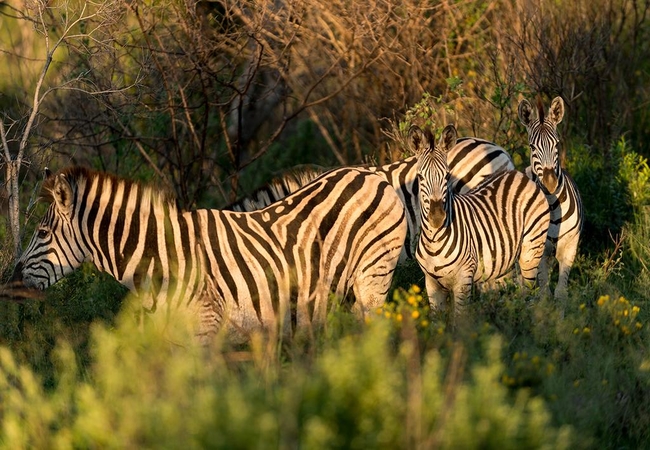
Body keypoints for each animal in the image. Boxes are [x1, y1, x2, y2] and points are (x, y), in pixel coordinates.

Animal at [11, 165, 404, 342]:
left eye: (42, 234)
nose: (12, 279)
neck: (160, 257)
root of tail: (369, 173)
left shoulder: (206, 326)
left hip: (374, 279)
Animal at [408, 124, 548, 316]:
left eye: (447, 176)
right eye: (420, 177)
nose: (437, 217)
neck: (434, 240)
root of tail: (517, 174)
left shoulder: (463, 279)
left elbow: (460, 320)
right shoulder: (431, 284)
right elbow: (437, 321)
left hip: (531, 249)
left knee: (530, 293)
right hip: (503, 260)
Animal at [516, 96, 584, 300]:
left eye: (557, 144)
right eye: (532, 147)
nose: (550, 183)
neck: (554, 207)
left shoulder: (570, 246)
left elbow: (561, 292)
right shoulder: (539, 249)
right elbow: (544, 291)